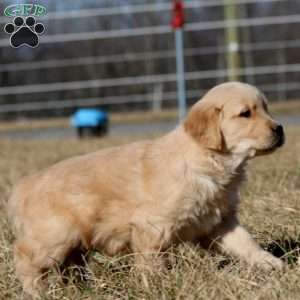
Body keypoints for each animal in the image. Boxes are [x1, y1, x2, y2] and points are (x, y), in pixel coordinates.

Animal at [7, 81, 284, 296]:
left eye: (266, 108)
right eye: (245, 114)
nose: (279, 128)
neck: (206, 159)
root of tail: (22, 186)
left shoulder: (218, 222)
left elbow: (246, 243)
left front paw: (272, 264)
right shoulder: (153, 227)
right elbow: (153, 263)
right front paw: (158, 286)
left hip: (72, 245)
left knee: (69, 267)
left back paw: (79, 289)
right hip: (54, 238)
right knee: (24, 258)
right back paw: (35, 292)